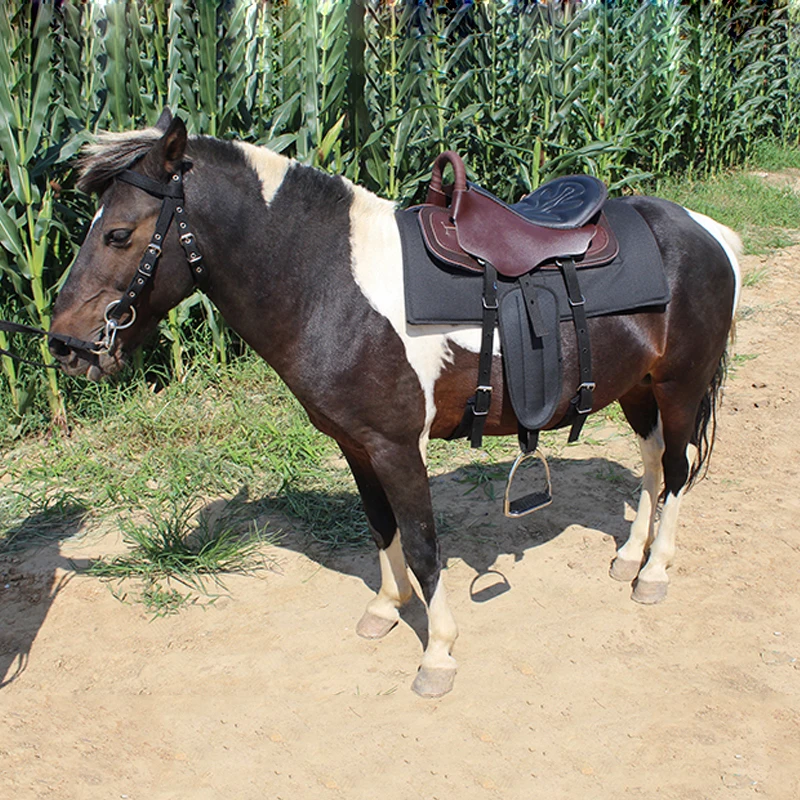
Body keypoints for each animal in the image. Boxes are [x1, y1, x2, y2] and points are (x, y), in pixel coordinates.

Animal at [48, 109, 736, 696]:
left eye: (118, 233)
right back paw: (629, 557)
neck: (331, 285)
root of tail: (708, 232)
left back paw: (654, 573)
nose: (64, 346)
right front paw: (386, 607)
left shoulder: (399, 447)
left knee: (676, 471)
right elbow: (383, 528)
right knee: (651, 467)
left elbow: (426, 545)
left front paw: (438, 654)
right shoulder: (356, 445)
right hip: (639, 389)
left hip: (679, 387)